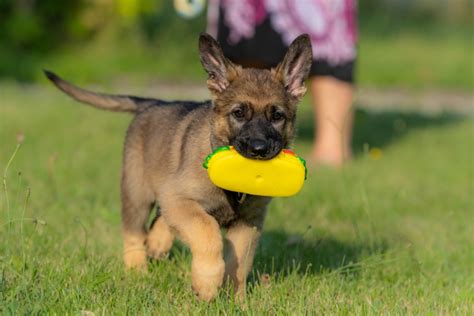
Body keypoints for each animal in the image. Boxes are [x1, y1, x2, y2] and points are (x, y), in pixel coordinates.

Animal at [43, 32, 312, 302]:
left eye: (277, 116)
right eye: (238, 113)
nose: (259, 149)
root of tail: (152, 103)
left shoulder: (248, 221)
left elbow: (238, 263)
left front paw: (237, 300)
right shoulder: (181, 199)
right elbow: (207, 231)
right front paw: (207, 283)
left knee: (160, 220)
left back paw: (157, 244)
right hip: (137, 192)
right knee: (134, 232)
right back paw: (137, 271)